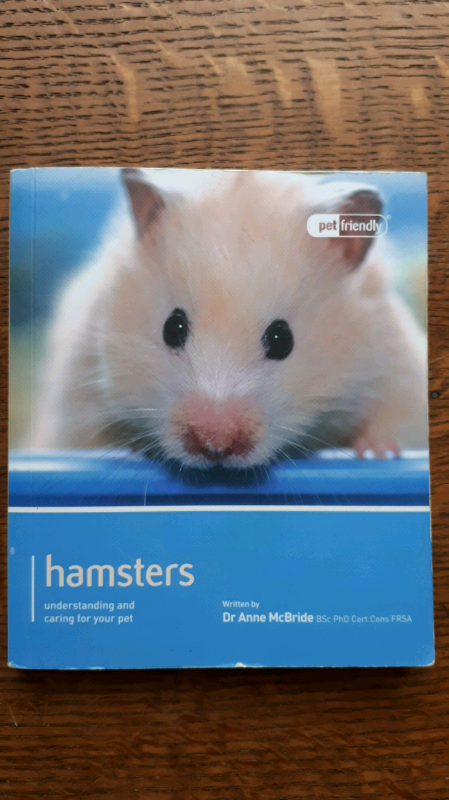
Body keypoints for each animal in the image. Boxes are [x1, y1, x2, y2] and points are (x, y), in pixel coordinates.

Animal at [34, 168, 428, 467]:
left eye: (282, 339)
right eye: (172, 328)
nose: (215, 445)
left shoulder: (396, 369)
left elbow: (394, 422)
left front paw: (379, 453)